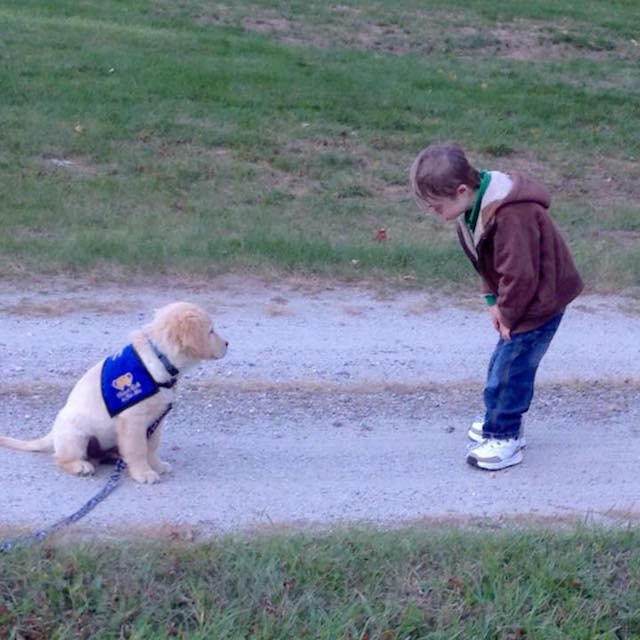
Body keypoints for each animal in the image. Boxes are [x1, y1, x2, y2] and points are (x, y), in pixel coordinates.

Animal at [0, 302, 228, 482]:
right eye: (211, 331)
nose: (227, 343)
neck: (158, 358)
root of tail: (53, 434)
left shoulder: (156, 421)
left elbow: (151, 446)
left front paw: (156, 464)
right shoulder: (133, 421)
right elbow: (138, 449)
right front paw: (143, 473)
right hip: (76, 434)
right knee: (60, 458)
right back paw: (79, 465)